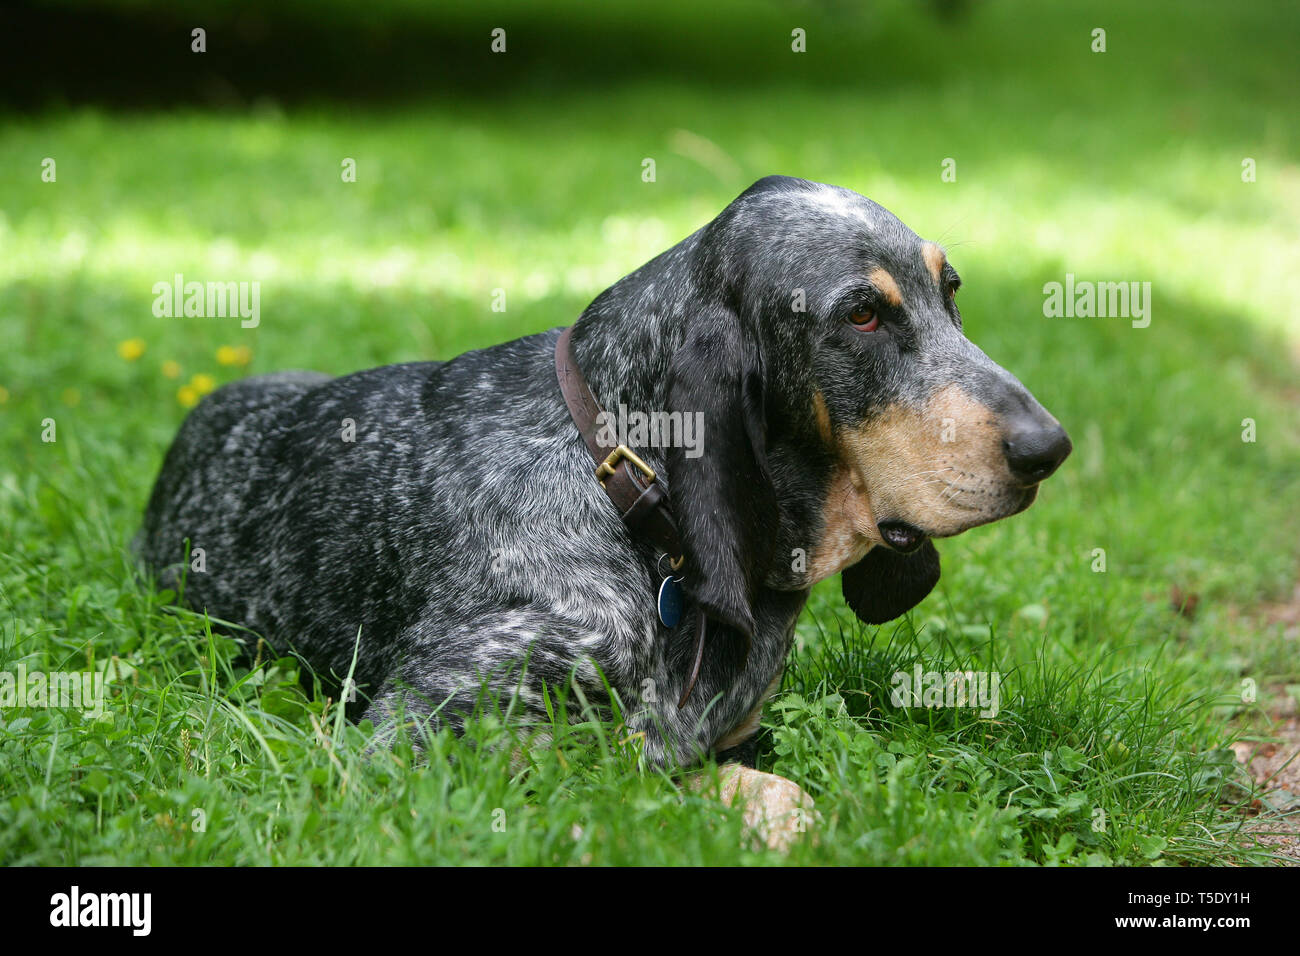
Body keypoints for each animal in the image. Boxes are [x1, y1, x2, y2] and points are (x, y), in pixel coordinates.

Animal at [137, 174, 1071, 842]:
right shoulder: (414, 742)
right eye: (865, 315)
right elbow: (700, 782)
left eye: (951, 290)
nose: (1050, 447)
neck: (624, 496)